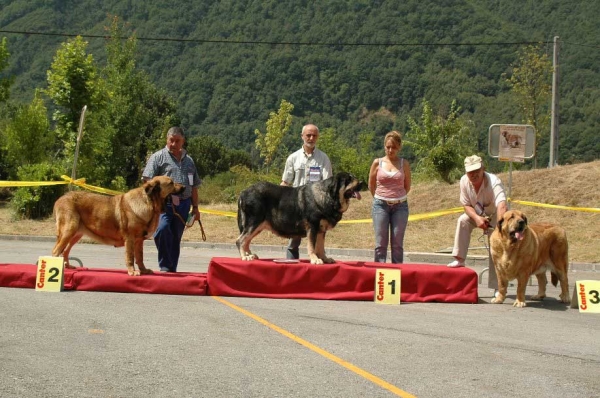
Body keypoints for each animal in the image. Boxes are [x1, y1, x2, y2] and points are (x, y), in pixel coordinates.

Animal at [52, 176, 184, 276]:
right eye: (171, 183)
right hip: (69, 229)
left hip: (76, 234)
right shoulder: (130, 239)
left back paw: (68, 267)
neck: (149, 202)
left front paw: (144, 270)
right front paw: (132, 272)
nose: (184, 187)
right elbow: (130, 257)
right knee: (56, 251)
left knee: (65, 251)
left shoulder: (139, 241)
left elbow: (140, 257)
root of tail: (60, 199)